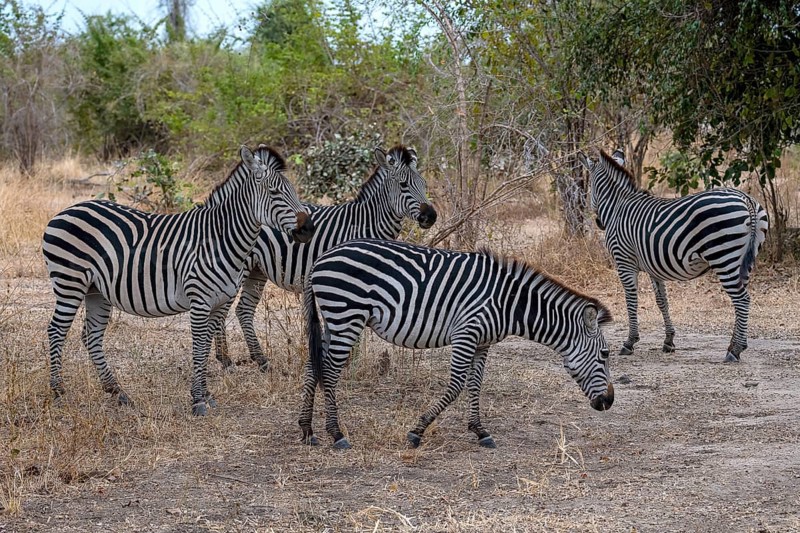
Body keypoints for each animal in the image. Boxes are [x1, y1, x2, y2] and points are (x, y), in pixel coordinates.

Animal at [42, 145, 315, 416]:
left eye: (293, 191)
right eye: (274, 192)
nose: (308, 230)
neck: (220, 238)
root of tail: (65, 211)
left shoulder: (218, 303)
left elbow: (205, 346)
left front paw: (206, 394)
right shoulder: (200, 300)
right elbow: (199, 346)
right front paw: (198, 400)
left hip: (95, 290)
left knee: (92, 336)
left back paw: (117, 392)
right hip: (70, 283)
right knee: (57, 330)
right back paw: (58, 392)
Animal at [213, 145, 437, 371]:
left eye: (424, 184)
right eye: (404, 185)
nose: (431, 217)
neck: (365, 223)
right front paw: (347, 361)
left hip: (258, 270)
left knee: (243, 310)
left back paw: (260, 359)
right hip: (239, 267)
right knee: (222, 312)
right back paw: (225, 359)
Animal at [298, 239, 615, 449]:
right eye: (605, 354)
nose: (609, 402)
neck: (509, 304)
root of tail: (320, 260)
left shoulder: (483, 342)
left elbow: (475, 385)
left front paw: (480, 431)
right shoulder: (466, 332)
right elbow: (456, 386)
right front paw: (417, 431)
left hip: (335, 320)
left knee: (313, 367)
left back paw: (307, 430)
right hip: (346, 316)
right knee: (329, 372)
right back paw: (336, 434)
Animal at [578, 149, 769, 362]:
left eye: (590, 189)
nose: (599, 223)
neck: (617, 208)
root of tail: (745, 198)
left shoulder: (624, 261)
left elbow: (631, 300)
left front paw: (630, 342)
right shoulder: (654, 265)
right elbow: (662, 301)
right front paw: (669, 341)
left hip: (723, 257)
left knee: (742, 300)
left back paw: (735, 350)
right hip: (744, 261)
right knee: (741, 300)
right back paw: (735, 345)